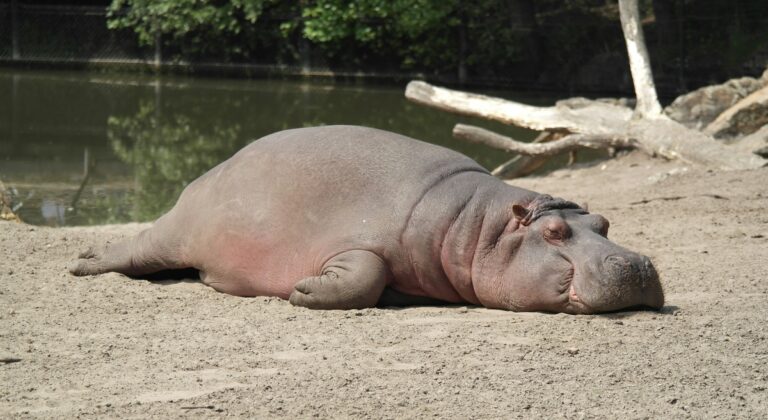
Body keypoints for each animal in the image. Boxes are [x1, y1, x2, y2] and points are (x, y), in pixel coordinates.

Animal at [69, 126, 664, 314]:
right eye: (554, 232)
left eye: (605, 223)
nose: (635, 264)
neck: (476, 226)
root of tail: (204, 176)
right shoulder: (356, 242)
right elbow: (365, 273)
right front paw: (304, 290)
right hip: (174, 234)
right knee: (135, 250)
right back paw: (82, 263)